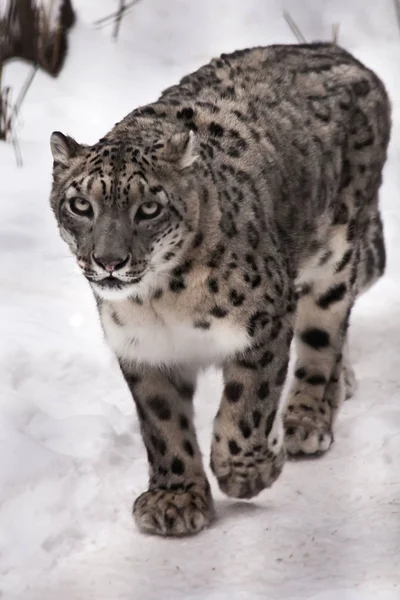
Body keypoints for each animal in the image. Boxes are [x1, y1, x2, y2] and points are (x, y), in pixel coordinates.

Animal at [49, 44, 390, 536]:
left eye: (148, 208)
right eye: (80, 205)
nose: (109, 261)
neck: (160, 302)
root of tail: (337, 49)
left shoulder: (265, 320)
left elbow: (246, 405)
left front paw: (247, 472)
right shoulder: (142, 346)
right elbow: (163, 424)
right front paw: (175, 499)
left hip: (337, 257)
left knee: (324, 336)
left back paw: (307, 418)